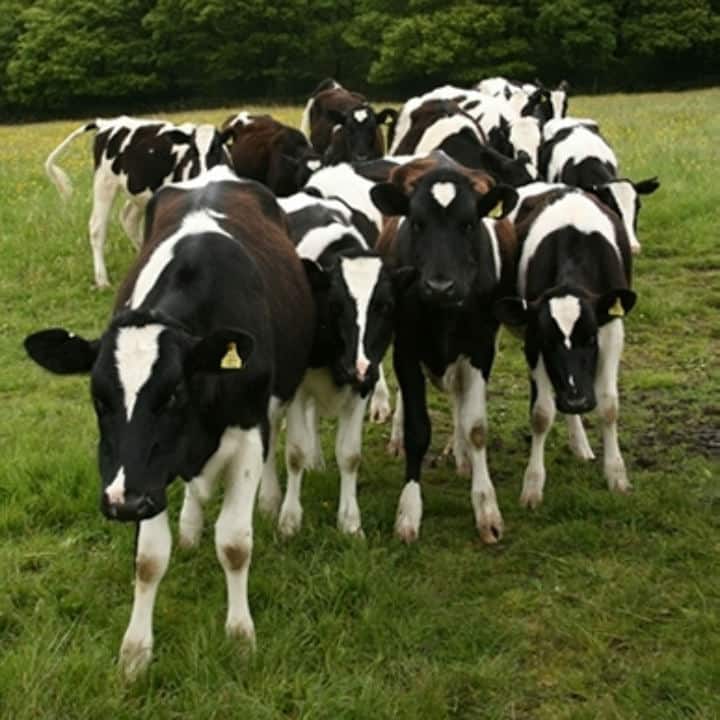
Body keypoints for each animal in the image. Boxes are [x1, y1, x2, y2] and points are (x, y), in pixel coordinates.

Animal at [23, 165, 316, 679]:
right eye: (98, 399)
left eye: (173, 393)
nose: (123, 504)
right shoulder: (144, 472)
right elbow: (148, 559)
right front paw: (136, 652)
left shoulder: (247, 431)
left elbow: (235, 543)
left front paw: (241, 637)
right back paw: (191, 526)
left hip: (282, 397)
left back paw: (274, 504)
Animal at [45, 115, 232, 288]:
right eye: (192, 150)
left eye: (216, 149)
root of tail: (106, 123)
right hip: (104, 183)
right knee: (97, 227)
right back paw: (102, 280)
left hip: (140, 192)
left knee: (128, 218)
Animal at [265, 191, 409, 536]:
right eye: (335, 306)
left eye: (386, 306)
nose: (357, 367)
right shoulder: (298, 385)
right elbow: (294, 452)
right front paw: (289, 520)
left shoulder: (364, 384)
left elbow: (350, 455)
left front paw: (350, 522)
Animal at [369, 154, 519, 544]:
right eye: (417, 222)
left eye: (468, 224)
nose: (440, 286)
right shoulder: (406, 348)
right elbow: (417, 429)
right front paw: (408, 512)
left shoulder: (481, 349)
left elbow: (476, 426)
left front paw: (487, 510)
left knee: (459, 400)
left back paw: (461, 454)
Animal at [493, 189, 636, 508]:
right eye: (549, 341)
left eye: (591, 339)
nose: (577, 401)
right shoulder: (533, 340)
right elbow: (541, 414)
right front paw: (533, 486)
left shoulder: (611, 331)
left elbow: (609, 406)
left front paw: (616, 475)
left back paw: (580, 444)